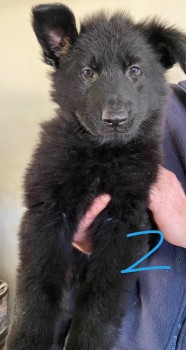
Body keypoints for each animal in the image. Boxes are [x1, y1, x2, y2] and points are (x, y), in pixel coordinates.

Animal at [4, 3, 186, 350]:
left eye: (134, 71)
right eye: (88, 73)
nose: (115, 120)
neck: (101, 157)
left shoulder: (125, 223)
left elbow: (102, 300)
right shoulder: (47, 212)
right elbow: (36, 289)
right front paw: (27, 340)